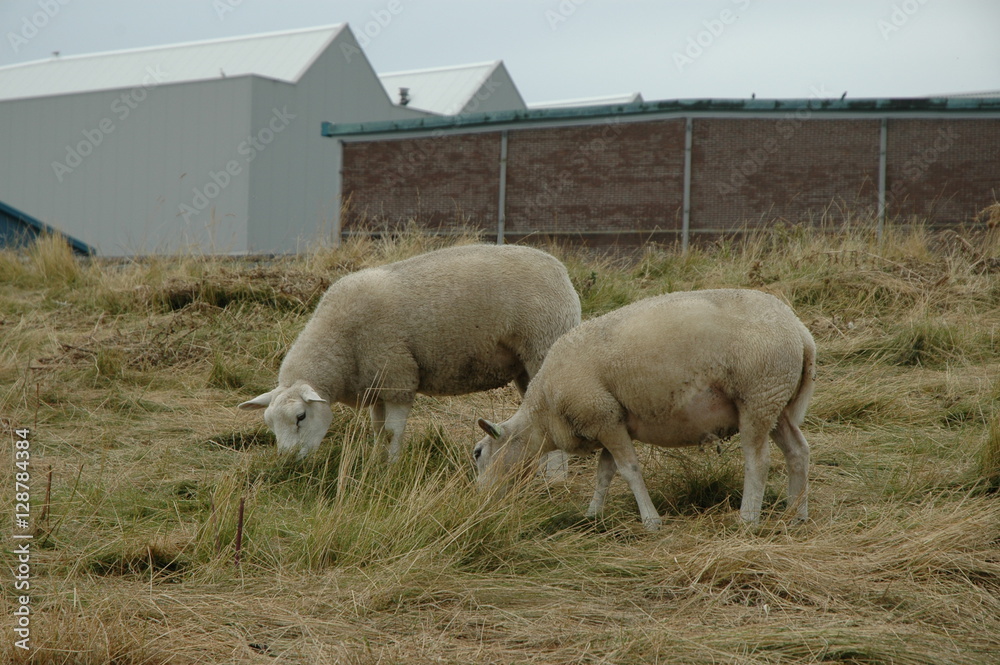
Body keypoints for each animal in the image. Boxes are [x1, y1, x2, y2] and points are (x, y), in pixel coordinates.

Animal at [239, 244, 582, 462]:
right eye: (269, 424)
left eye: (300, 417)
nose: (286, 462)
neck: (341, 344)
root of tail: (559, 269)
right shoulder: (375, 385)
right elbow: (378, 431)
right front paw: (376, 463)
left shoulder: (397, 376)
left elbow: (392, 432)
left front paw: (391, 467)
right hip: (525, 366)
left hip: (543, 344)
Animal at [473, 288, 816, 531]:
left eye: (478, 453)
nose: (481, 500)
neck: (543, 415)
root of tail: (801, 332)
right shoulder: (609, 419)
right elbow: (605, 472)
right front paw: (592, 515)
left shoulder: (601, 416)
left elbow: (629, 470)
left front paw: (651, 521)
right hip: (776, 401)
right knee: (797, 451)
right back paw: (796, 514)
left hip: (757, 396)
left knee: (757, 462)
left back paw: (748, 519)